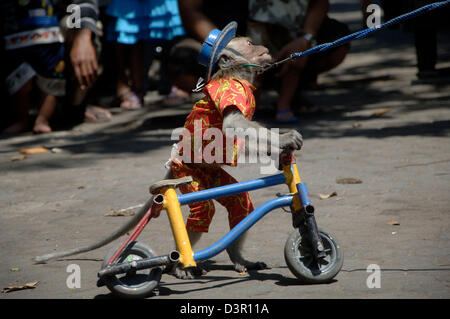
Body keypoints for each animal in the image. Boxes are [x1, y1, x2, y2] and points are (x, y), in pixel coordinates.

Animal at [34, 30, 302, 280]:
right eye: (248, 44)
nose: (263, 47)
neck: (238, 75)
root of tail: (177, 162)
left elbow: (239, 139)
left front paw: (278, 150)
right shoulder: (232, 89)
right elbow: (233, 124)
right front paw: (285, 139)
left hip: (210, 174)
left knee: (240, 204)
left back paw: (237, 258)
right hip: (188, 173)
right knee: (202, 211)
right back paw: (179, 265)